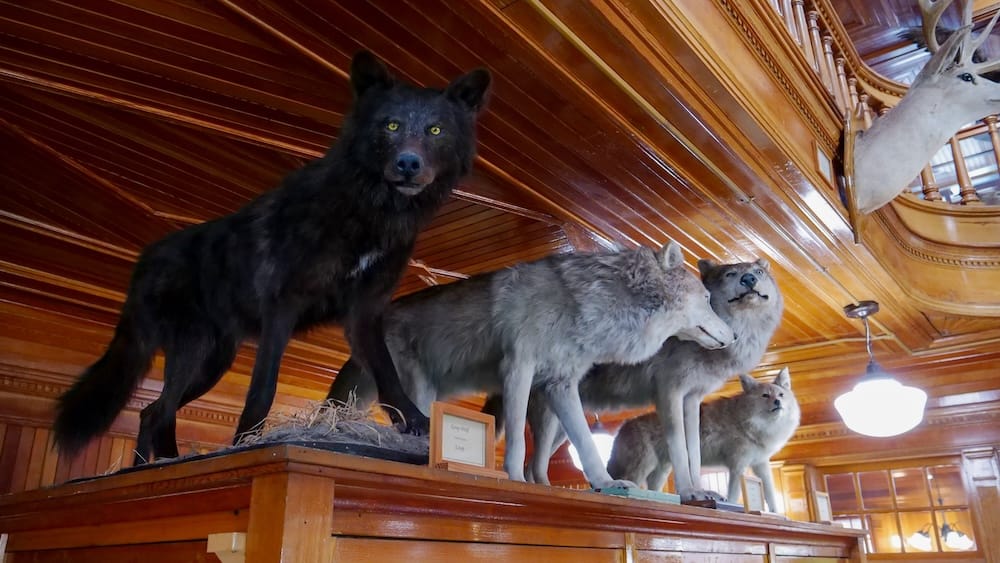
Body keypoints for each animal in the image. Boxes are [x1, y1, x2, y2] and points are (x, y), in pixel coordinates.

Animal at [53, 51, 491, 464]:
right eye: (392, 125)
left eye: (435, 130)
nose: (408, 164)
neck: (368, 212)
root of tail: (143, 261)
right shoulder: (282, 306)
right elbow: (262, 388)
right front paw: (244, 444)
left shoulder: (364, 313)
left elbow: (388, 376)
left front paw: (417, 425)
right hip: (194, 354)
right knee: (157, 412)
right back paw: (150, 469)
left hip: (213, 361)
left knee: (153, 413)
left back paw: (165, 463)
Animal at [328, 242, 736, 487]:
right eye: (706, 299)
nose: (732, 336)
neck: (585, 305)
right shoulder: (518, 369)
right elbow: (516, 447)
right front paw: (515, 482)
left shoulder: (561, 384)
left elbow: (585, 443)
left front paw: (605, 484)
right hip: (419, 391)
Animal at [519, 257, 783, 500]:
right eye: (730, 274)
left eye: (758, 271)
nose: (749, 279)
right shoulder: (670, 391)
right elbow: (679, 449)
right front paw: (688, 493)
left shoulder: (692, 399)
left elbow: (694, 452)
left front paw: (701, 491)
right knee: (533, 463)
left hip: (562, 424)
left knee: (532, 463)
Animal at [607, 367, 799, 511]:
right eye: (765, 396)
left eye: (780, 395)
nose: (777, 403)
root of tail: (623, 426)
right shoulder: (738, 466)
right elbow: (734, 494)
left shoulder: (761, 464)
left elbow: (771, 494)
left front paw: (778, 515)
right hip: (641, 469)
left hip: (661, 470)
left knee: (654, 487)